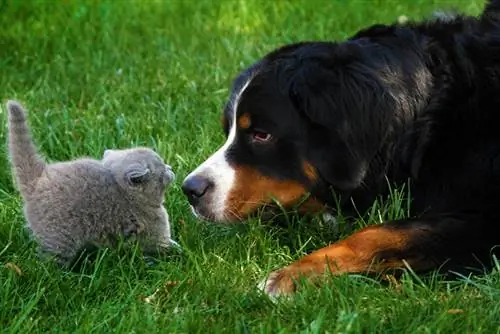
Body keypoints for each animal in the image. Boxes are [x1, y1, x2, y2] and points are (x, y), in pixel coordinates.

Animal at [6, 100, 178, 268]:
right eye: (162, 169)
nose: (170, 168)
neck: (129, 196)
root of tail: (38, 179)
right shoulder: (153, 230)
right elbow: (160, 247)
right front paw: (174, 253)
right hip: (58, 237)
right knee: (50, 261)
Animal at [182, 0, 500, 298]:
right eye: (228, 130)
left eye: (261, 134)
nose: (190, 189)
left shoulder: (484, 220)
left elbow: (377, 233)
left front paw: (290, 275)